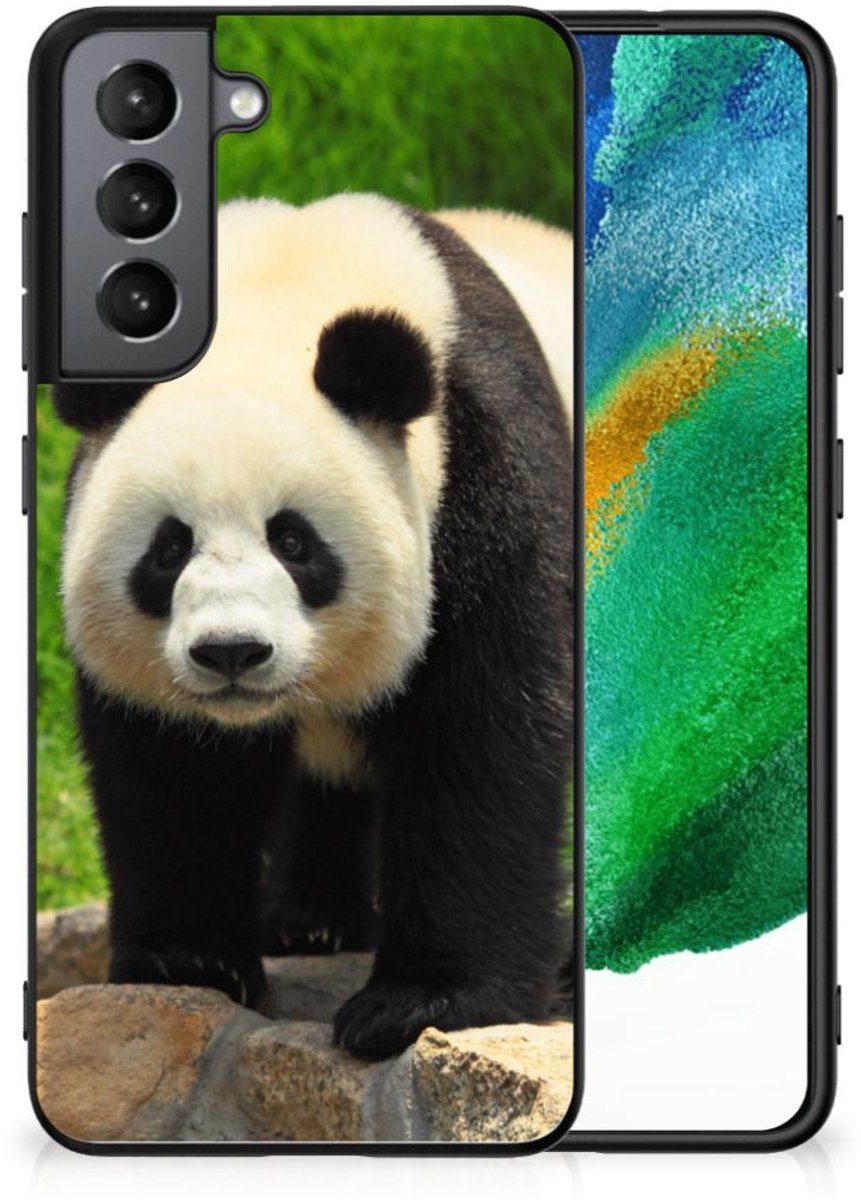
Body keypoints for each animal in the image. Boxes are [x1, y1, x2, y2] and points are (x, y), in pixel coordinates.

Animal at [55, 193, 574, 1061]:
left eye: (293, 542)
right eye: (169, 548)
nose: (231, 652)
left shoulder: (485, 473)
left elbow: (482, 735)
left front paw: (420, 1002)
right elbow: (173, 768)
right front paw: (188, 959)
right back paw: (311, 922)